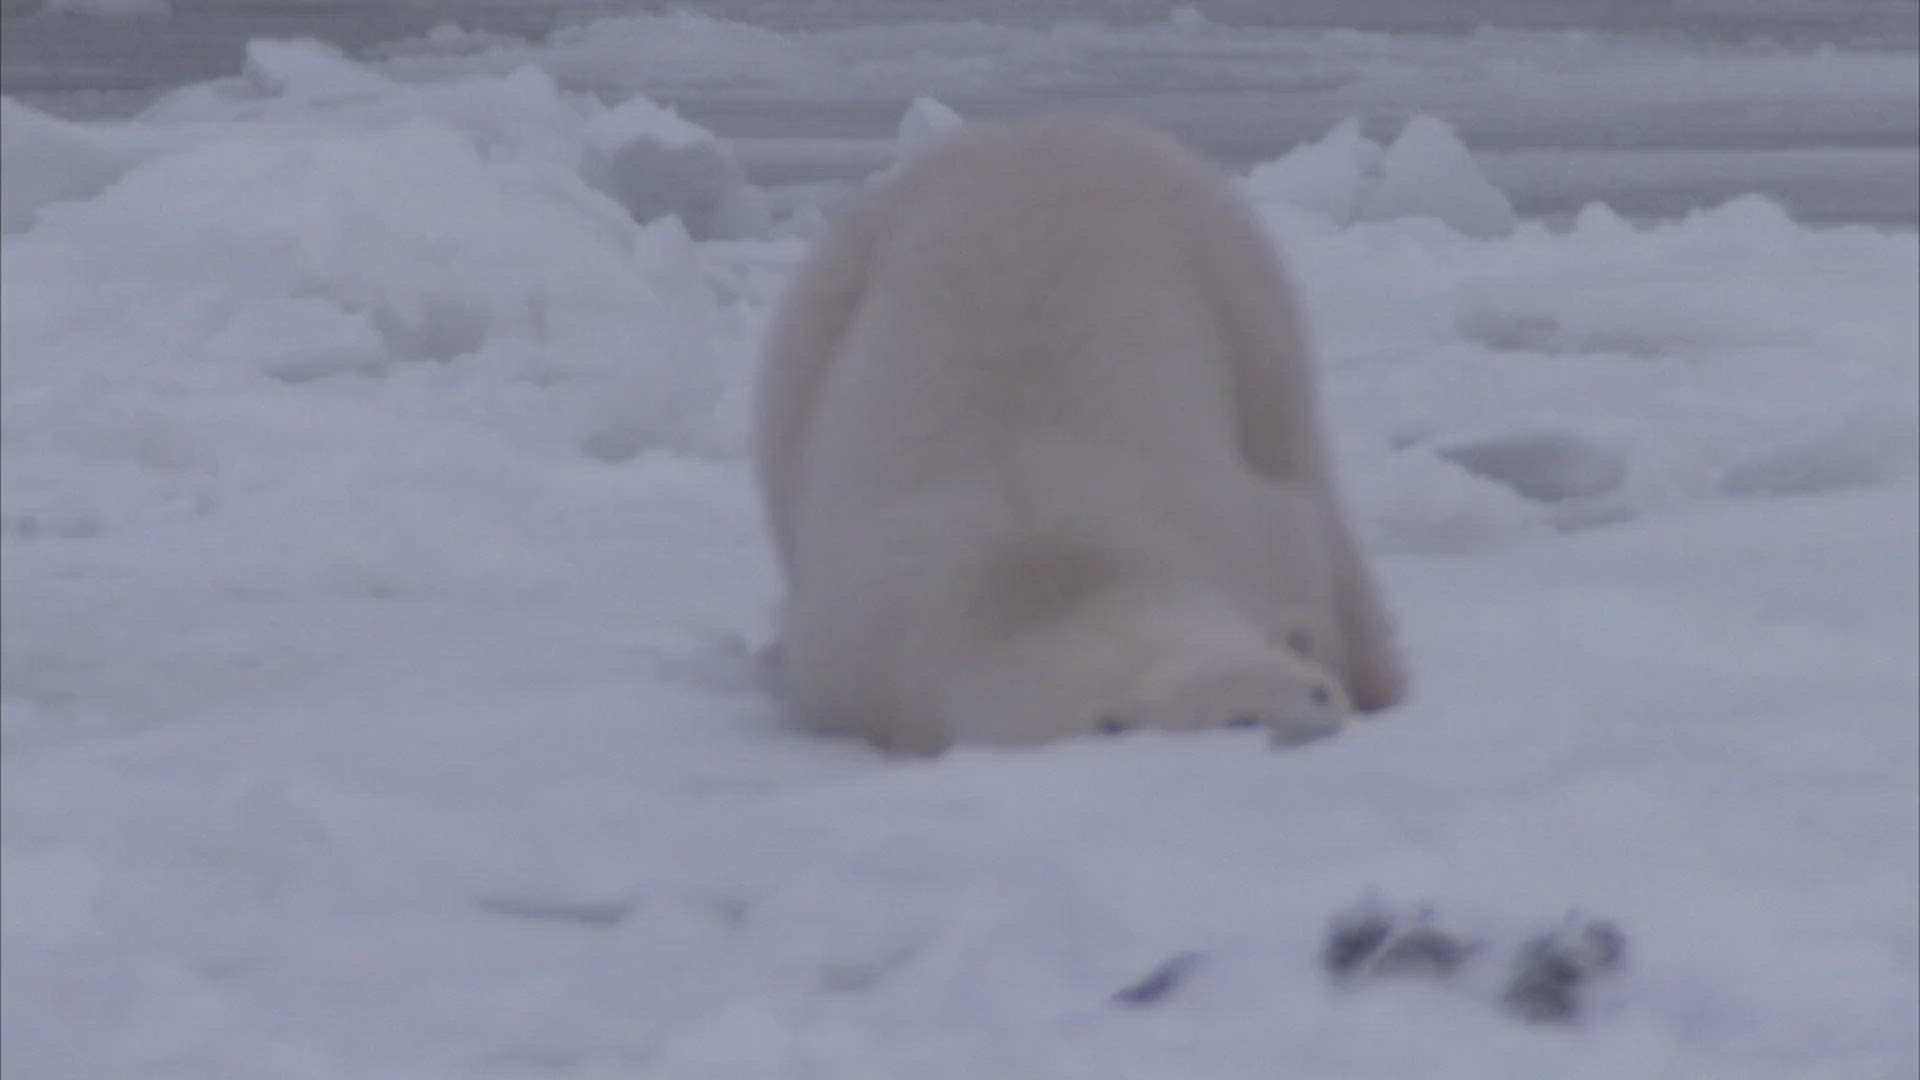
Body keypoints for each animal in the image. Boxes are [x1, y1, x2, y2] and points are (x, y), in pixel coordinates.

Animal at [752, 116, 1405, 756]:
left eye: (1317, 689)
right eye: (1238, 720)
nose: (1315, 719)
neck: (1059, 576)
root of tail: (1040, 128)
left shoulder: (1242, 533)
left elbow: (1302, 551)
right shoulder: (859, 648)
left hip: (1232, 283)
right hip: (822, 318)